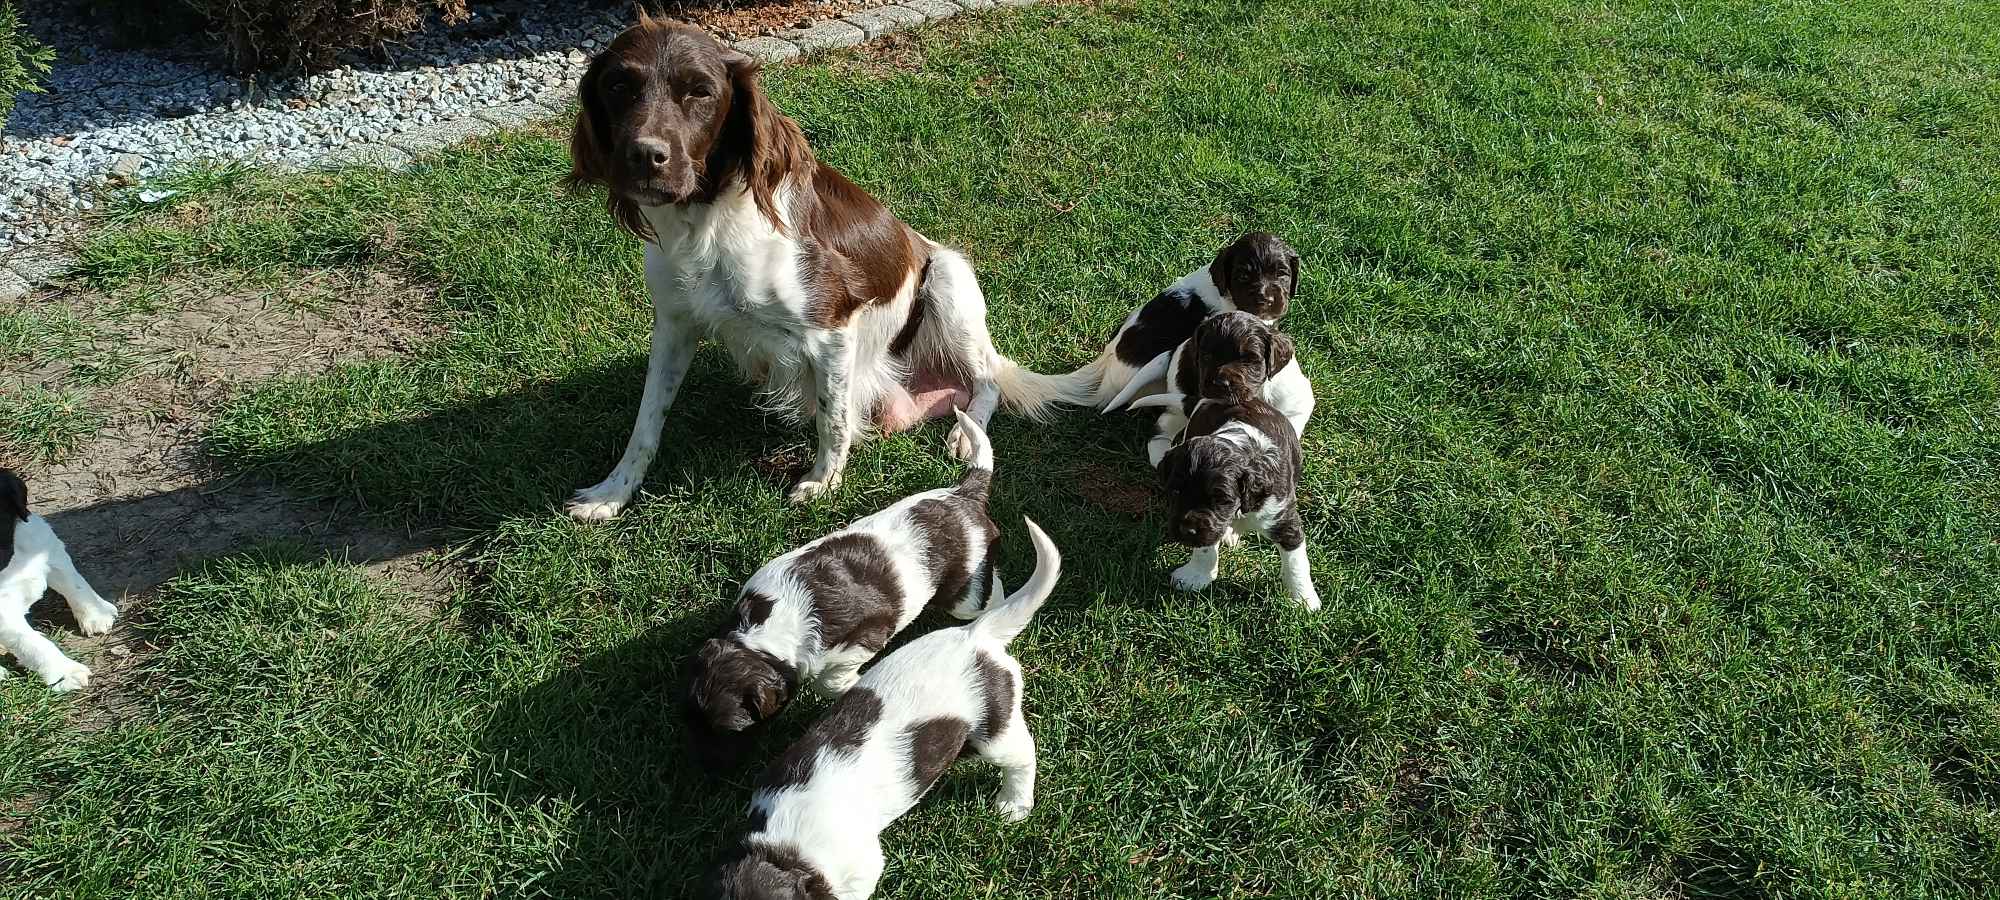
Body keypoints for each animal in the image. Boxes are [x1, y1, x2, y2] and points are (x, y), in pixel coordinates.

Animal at [0, 468, 117, 692]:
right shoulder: (4, 614)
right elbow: (32, 644)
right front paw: (67, 673)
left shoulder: (48, 548)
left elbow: (75, 584)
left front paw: (97, 613)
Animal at [564, 15, 1096, 520]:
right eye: (619, 86)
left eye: (700, 91)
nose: (645, 155)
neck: (707, 223)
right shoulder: (674, 325)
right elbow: (646, 422)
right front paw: (611, 493)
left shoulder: (832, 329)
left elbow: (832, 418)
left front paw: (822, 481)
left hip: (947, 280)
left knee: (986, 380)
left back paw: (966, 435)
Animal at [688, 408, 1008, 768]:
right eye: (690, 721)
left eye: (731, 732)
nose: (702, 768)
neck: (765, 628)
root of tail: (964, 493)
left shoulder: (863, 639)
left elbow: (830, 681)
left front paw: (850, 686)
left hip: (963, 596)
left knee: (990, 590)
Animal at [712, 516, 1072, 896]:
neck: (781, 845)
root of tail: (975, 634)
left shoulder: (861, 869)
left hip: (993, 728)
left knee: (1022, 757)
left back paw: (1013, 805)